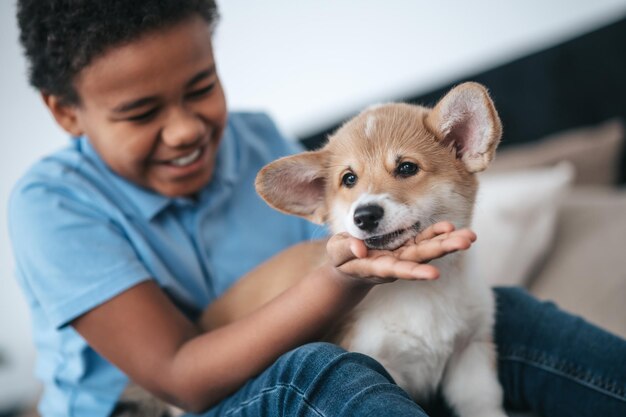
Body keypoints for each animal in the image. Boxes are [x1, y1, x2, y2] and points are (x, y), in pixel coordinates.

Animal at [252, 82, 502, 416]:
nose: (365, 215)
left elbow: (484, 405)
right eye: (349, 179)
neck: (423, 290)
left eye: (407, 168)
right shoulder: (379, 359)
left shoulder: (470, 356)